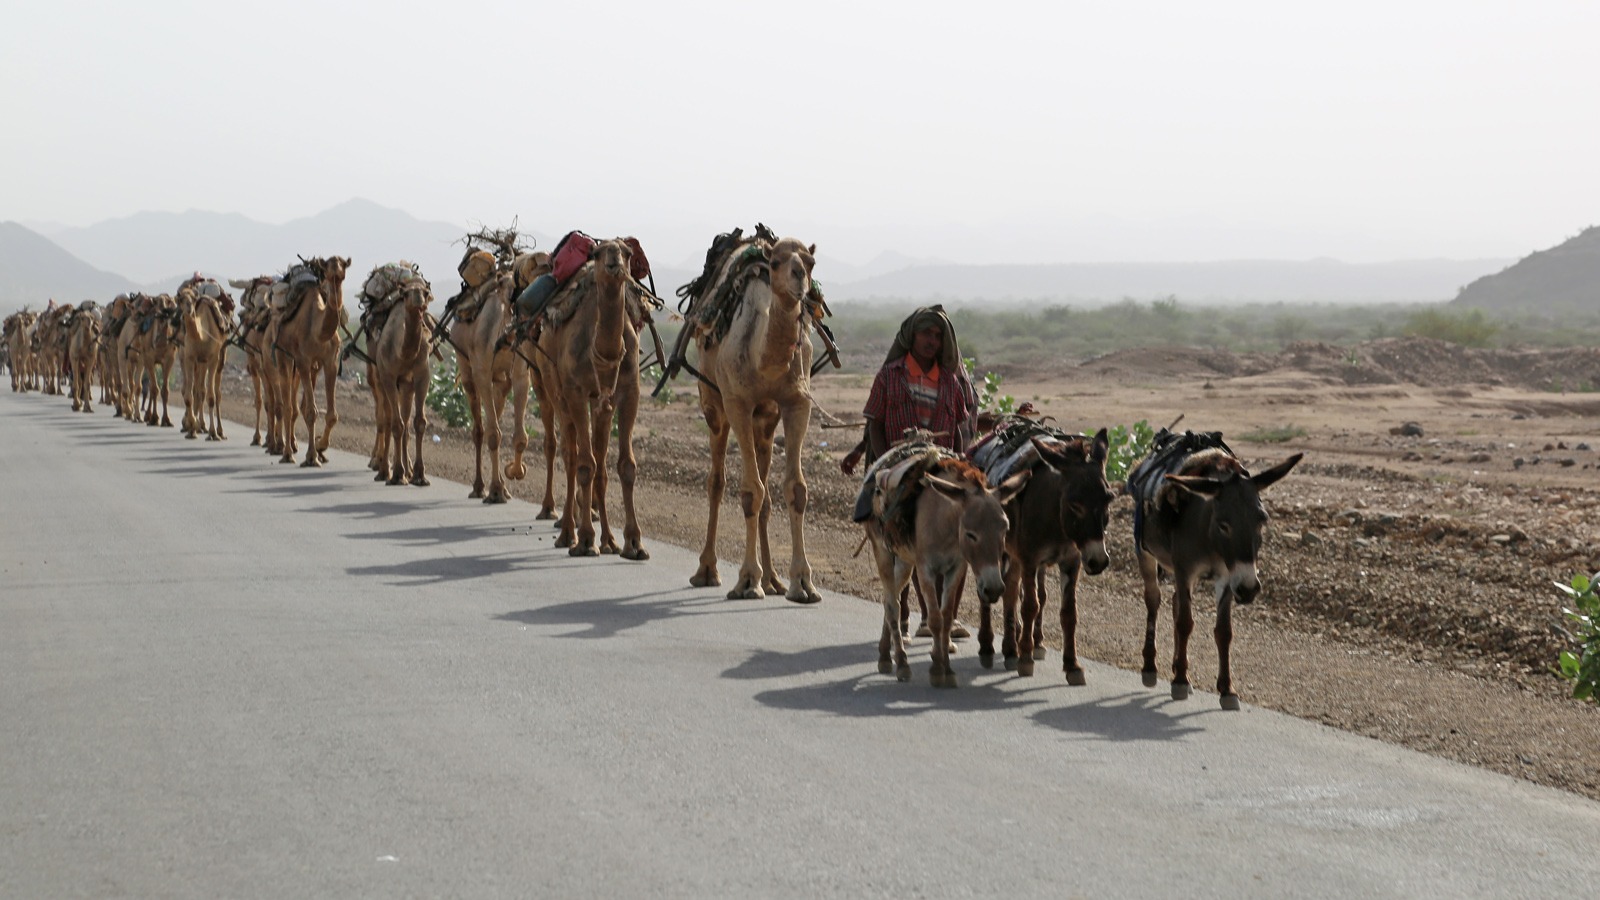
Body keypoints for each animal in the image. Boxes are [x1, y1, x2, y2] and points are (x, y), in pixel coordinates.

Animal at [176, 283, 232, 438]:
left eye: (194, 299)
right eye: (181, 299)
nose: (189, 308)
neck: (202, 335)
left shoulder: (212, 358)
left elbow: (211, 397)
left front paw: (212, 433)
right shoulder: (189, 358)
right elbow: (188, 394)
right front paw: (192, 427)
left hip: (219, 358)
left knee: (216, 393)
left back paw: (219, 431)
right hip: (200, 362)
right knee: (199, 389)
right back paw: (199, 425)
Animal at [272, 253, 350, 461]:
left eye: (343, 268)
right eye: (327, 268)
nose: (336, 273)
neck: (319, 332)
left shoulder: (330, 362)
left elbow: (332, 415)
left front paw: (321, 447)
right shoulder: (303, 361)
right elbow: (310, 412)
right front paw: (312, 456)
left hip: (304, 366)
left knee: (295, 404)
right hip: (284, 355)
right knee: (288, 405)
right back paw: (287, 452)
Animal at [366, 278, 435, 483]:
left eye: (426, 292)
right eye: (405, 294)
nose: (418, 300)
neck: (403, 354)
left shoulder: (422, 375)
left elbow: (419, 422)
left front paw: (419, 475)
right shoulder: (388, 376)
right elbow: (395, 424)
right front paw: (397, 474)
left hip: (405, 386)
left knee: (403, 420)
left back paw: (407, 470)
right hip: (379, 378)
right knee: (387, 419)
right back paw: (384, 470)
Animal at [531, 241, 643, 557]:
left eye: (628, 253)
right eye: (596, 252)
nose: (613, 263)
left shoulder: (629, 391)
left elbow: (625, 465)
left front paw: (632, 542)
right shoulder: (577, 393)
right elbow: (584, 465)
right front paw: (585, 539)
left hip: (599, 403)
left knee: (600, 462)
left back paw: (608, 540)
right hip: (555, 388)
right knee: (572, 455)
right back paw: (568, 533)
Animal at [678, 232, 819, 595]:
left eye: (810, 262)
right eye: (776, 262)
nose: (799, 277)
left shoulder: (797, 402)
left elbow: (796, 488)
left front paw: (803, 582)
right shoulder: (738, 403)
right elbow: (750, 491)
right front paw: (746, 580)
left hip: (765, 420)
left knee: (768, 490)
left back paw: (773, 579)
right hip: (714, 404)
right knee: (717, 481)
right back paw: (707, 570)